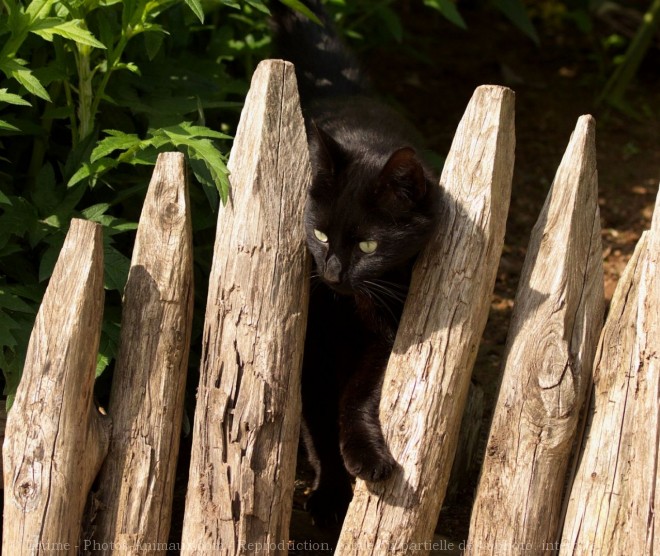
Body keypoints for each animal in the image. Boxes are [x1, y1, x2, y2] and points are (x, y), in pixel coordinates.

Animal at [270, 0, 440, 524]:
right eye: (321, 234)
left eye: (367, 247)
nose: (331, 273)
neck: (346, 312)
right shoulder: (309, 343)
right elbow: (317, 419)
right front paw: (329, 496)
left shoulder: (386, 335)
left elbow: (359, 397)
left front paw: (367, 457)